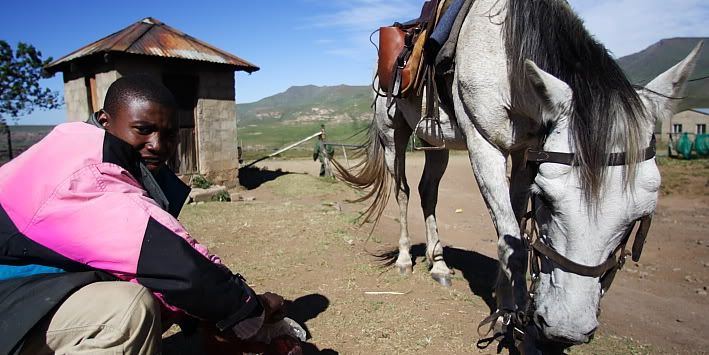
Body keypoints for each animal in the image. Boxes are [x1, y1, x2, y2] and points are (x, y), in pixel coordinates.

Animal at [338, 0, 704, 350]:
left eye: (640, 218)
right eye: (547, 200)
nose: (567, 327)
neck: (507, 55)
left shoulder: (528, 153)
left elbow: (513, 230)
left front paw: (507, 305)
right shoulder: (483, 144)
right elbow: (512, 238)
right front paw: (512, 322)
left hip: (435, 140)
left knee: (428, 192)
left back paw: (439, 264)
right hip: (393, 135)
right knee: (402, 191)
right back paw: (404, 259)